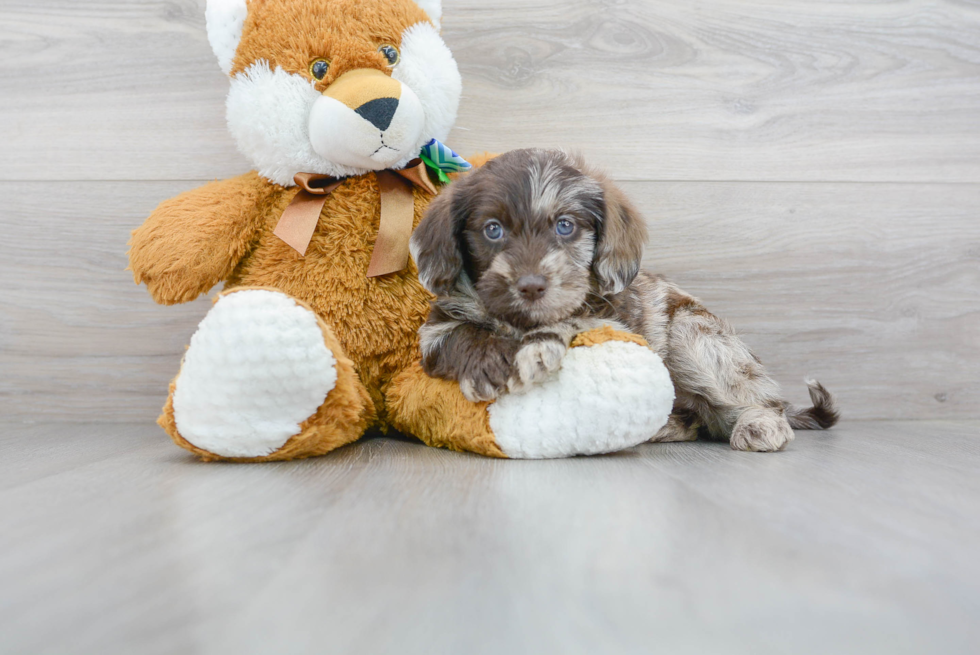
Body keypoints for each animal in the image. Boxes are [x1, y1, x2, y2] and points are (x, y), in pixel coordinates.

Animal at [410, 149, 840, 454]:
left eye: (565, 226)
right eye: (493, 230)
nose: (531, 285)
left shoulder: (612, 321)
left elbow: (570, 319)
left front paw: (536, 348)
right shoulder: (436, 328)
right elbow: (459, 335)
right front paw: (488, 364)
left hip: (695, 336)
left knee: (756, 399)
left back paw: (762, 423)